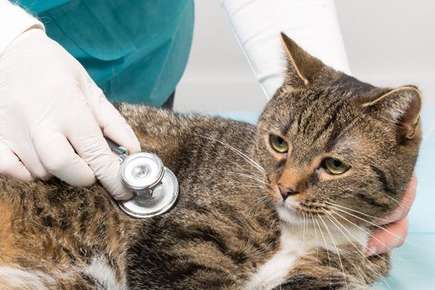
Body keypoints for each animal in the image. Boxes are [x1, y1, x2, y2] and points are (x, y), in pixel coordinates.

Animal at [0, 33, 422, 288]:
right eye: (279, 143)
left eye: (335, 166)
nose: (285, 189)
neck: (296, 232)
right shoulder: (182, 243)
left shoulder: (329, 272)